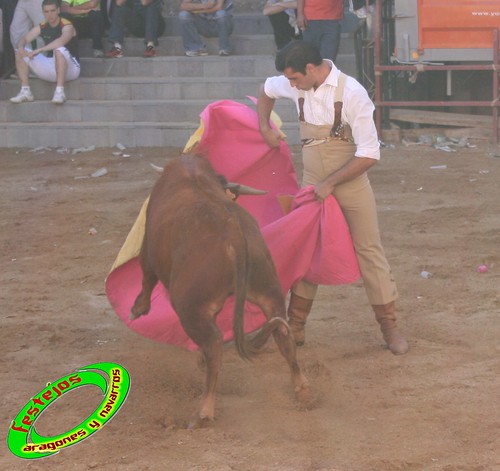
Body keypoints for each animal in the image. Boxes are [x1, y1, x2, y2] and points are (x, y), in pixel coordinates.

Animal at [131, 154, 314, 428]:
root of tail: (234, 237)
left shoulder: (148, 250)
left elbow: (146, 274)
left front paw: (138, 309)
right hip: (269, 290)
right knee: (283, 334)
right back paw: (302, 392)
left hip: (190, 309)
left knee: (214, 345)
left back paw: (203, 412)